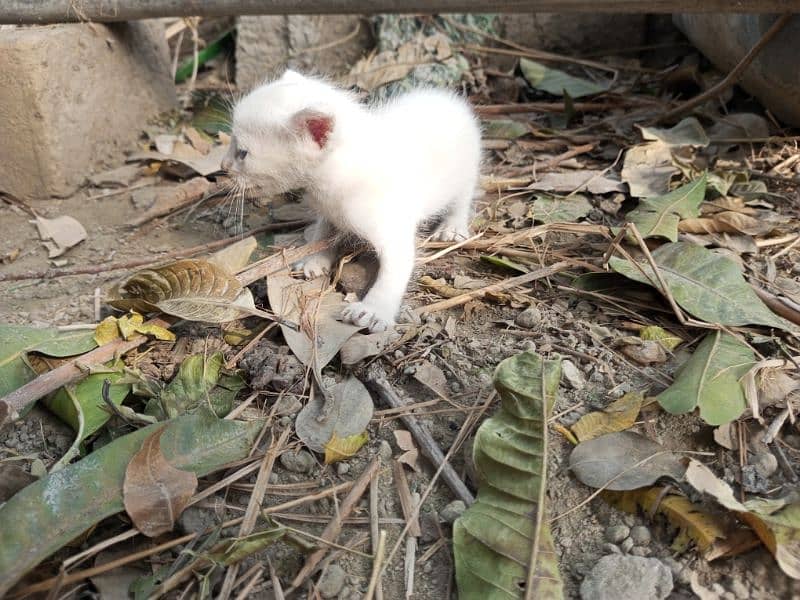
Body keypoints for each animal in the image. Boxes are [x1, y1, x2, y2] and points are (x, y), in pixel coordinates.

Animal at [220, 71, 482, 332]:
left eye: (242, 153)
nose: (223, 166)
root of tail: (450, 100)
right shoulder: (328, 211)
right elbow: (323, 232)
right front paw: (313, 259)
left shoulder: (390, 226)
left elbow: (394, 271)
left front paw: (374, 310)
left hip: (466, 171)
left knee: (463, 197)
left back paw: (452, 226)